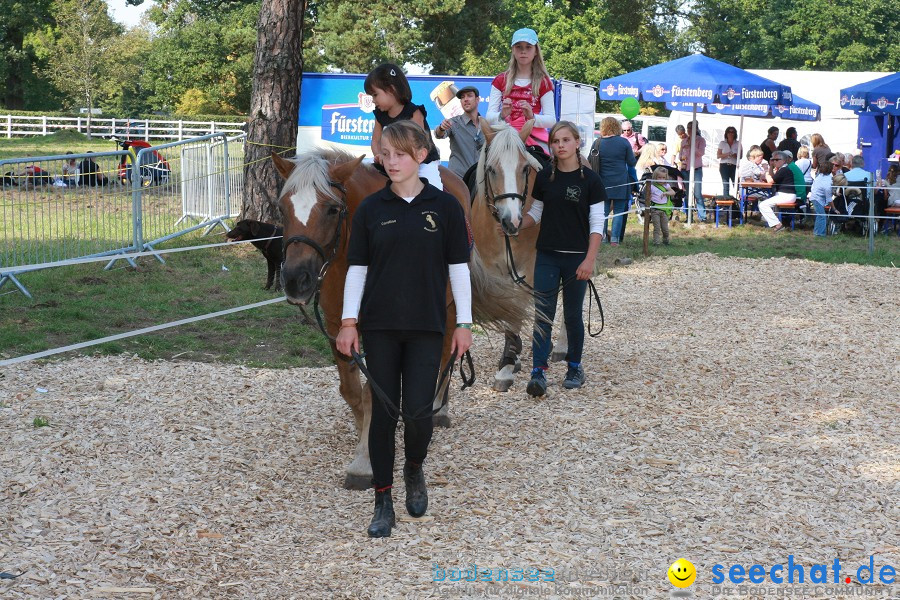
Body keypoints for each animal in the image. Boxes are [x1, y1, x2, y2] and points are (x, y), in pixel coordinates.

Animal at [272, 149, 536, 488]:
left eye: (332, 209)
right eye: (282, 208)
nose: (295, 280)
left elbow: (372, 390)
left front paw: (364, 460)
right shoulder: (338, 328)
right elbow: (352, 391)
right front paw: (366, 434)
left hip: (449, 307)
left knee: (446, 355)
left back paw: (438, 409)